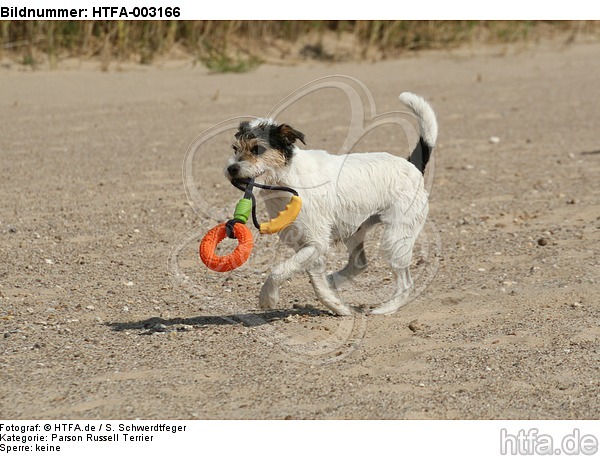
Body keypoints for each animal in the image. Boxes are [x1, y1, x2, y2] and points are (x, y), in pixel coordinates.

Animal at [224, 91, 436, 314]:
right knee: (359, 264)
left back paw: (385, 309)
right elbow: (317, 285)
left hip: (396, 237)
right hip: (354, 230)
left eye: (257, 149)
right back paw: (334, 281)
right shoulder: (308, 248)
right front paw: (339, 308)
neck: (287, 179)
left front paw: (267, 297)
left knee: (405, 283)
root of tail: (411, 165)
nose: (232, 169)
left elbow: (279, 270)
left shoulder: (315, 243)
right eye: (235, 148)